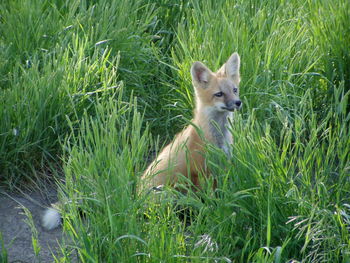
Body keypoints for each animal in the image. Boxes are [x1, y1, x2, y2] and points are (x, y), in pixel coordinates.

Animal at [139, 52, 241, 195]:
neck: (218, 138)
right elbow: (209, 196)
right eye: (219, 94)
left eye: (234, 90)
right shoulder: (201, 171)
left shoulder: (223, 164)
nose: (238, 102)